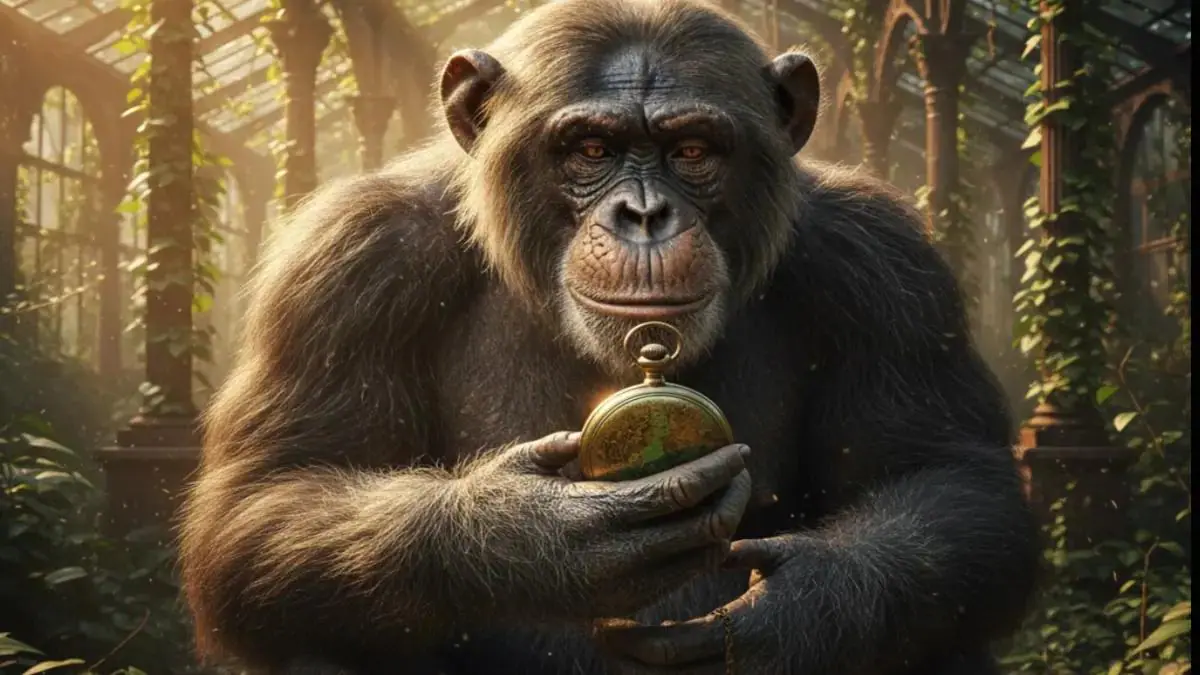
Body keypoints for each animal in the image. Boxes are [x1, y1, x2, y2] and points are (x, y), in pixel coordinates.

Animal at [178, 1, 1040, 673]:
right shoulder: (345, 266)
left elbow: (946, 476)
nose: (645, 214)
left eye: (693, 150)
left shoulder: (889, 270)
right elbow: (273, 494)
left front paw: (789, 615)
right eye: (590, 149)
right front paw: (532, 536)